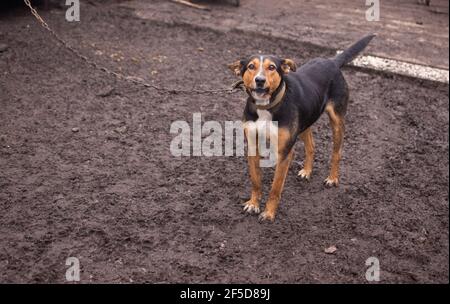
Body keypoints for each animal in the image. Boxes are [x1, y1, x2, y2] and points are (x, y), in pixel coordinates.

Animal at [229, 34, 376, 222]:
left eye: (271, 67)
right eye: (251, 66)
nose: (259, 80)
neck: (266, 106)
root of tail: (332, 62)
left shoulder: (284, 152)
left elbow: (275, 188)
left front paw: (269, 213)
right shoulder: (253, 145)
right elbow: (255, 180)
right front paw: (253, 204)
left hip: (337, 120)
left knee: (337, 152)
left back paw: (332, 179)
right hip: (305, 121)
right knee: (311, 146)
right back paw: (307, 171)